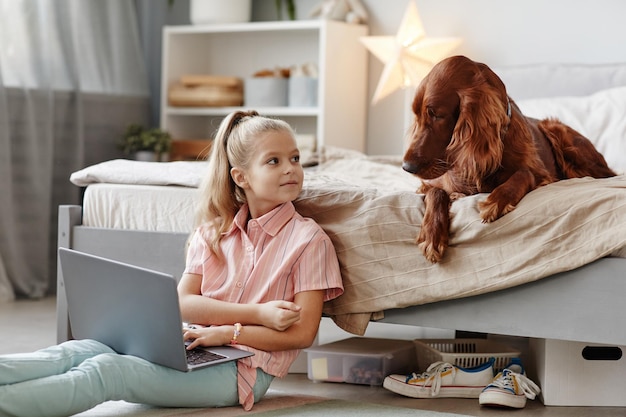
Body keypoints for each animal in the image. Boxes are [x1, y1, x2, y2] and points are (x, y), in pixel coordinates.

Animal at [402, 55, 612, 264]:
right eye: (417, 116)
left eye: (437, 115)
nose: (407, 167)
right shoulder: (430, 183)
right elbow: (435, 191)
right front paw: (431, 234)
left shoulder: (542, 175)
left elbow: (523, 173)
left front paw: (496, 201)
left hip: (557, 131)